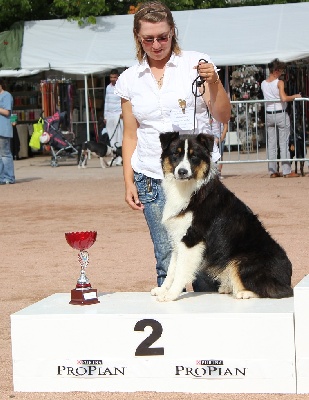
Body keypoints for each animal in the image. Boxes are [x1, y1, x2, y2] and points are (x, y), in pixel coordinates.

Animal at [150, 133, 292, 302]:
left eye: (194, 156)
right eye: (175, 154)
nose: (182, 171)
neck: (189, 189)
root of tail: (287, 275)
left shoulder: (192, 239)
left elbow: (180, 271)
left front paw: (171, 294)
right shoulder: (178, 237)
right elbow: (171, 269)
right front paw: (162, 290)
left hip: (241, 260)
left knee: (279, 291)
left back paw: (243, 292)